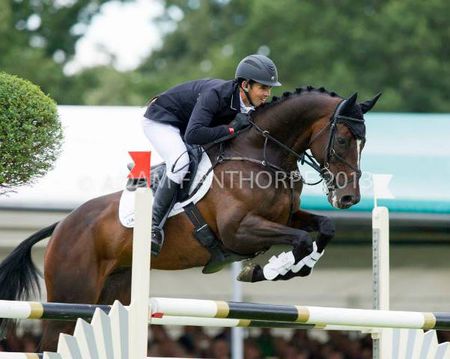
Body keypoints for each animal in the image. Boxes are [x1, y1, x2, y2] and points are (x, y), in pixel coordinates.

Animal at [0, 86, 380, 350]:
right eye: (343, 139)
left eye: (363, 142)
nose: (349, 198)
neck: (263, 155)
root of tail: (62, 225)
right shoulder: (239, 231)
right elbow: (299, 240)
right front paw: (271, 269)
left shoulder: (288, 216)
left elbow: (324, 228)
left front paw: (293, 267)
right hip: (70, 297)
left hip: (111, 294)